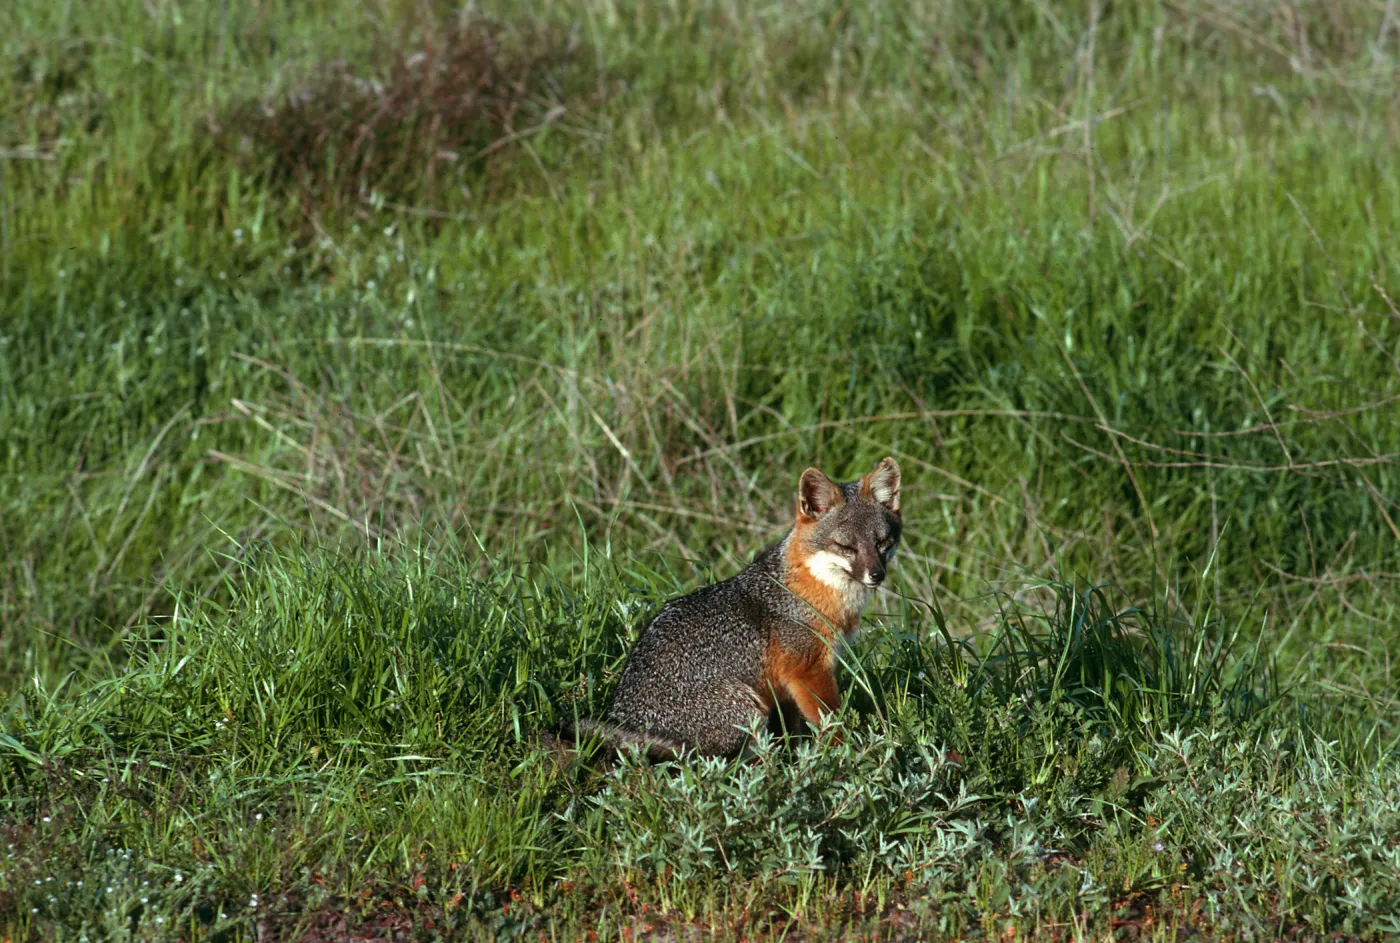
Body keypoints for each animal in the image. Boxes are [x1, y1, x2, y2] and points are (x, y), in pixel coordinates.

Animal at [574, 457, 902, 759]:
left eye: (882, 542)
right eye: (846, 547)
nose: (877, 575)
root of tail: (626, 720)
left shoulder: (786, 689)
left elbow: (793, 733)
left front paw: (799, 759)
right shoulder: (807, 672)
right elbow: (832, 724)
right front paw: (846, 755)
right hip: (749, 708)